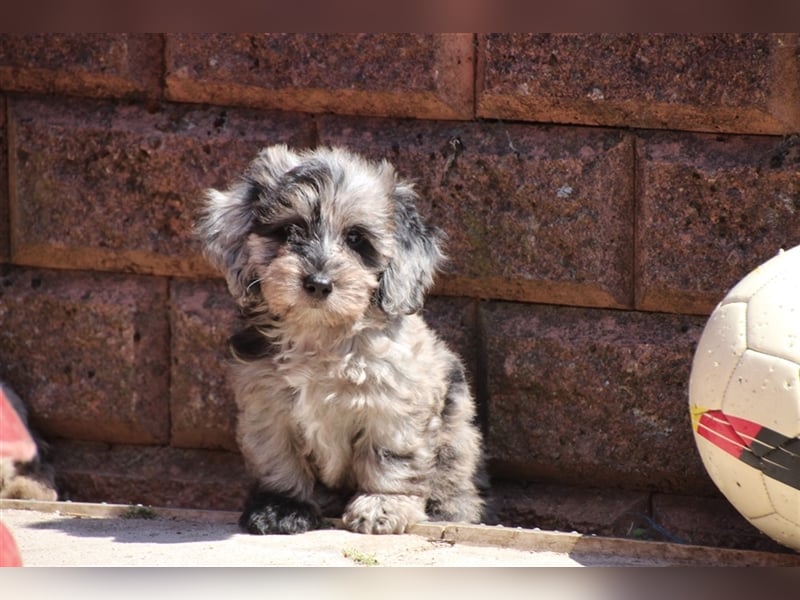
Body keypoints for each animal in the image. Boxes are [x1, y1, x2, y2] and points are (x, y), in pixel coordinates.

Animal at [198, 145, 488, 536]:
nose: (319, 283)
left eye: (356, 239)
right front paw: (282, 507)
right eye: (289, 230)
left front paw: (382, 504)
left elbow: (391, 456)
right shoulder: (265, 401)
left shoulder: (396, 402)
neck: (321, 334)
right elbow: (277, 456)